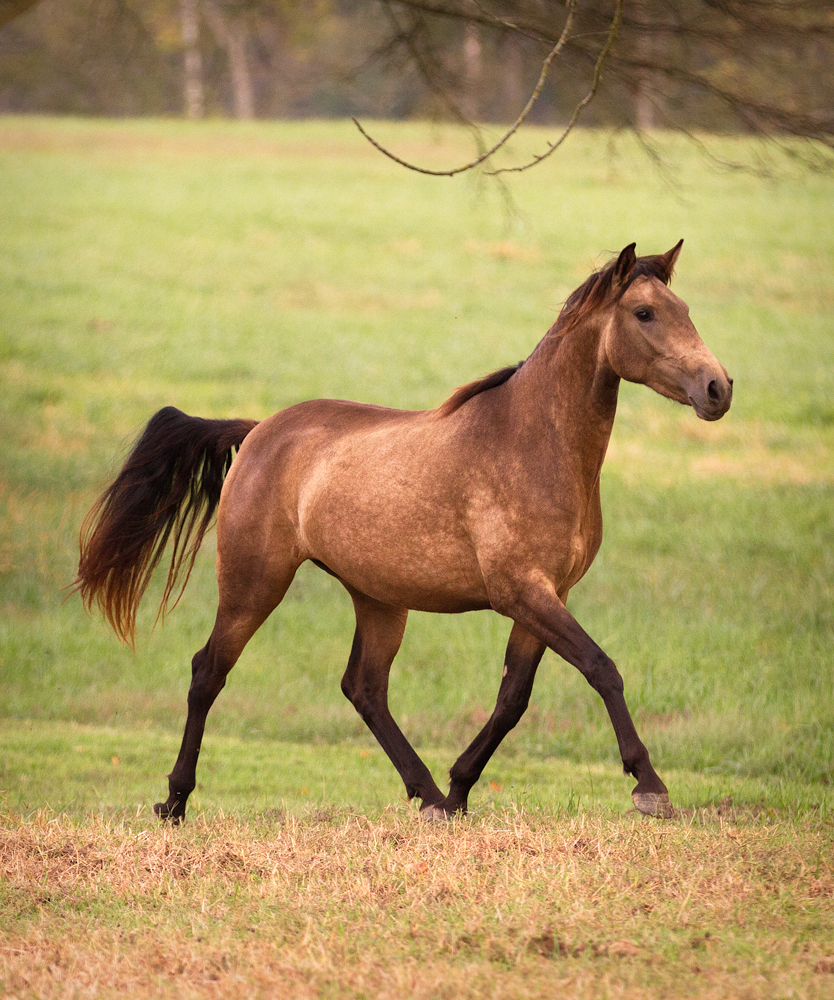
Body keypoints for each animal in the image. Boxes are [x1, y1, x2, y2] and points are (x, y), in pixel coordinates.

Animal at [75, 240, 732, 820]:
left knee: (364, 688)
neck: (532, 443)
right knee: (208, 672)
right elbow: (601, 668)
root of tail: (259, 430)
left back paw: (430, 797)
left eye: (686, 309)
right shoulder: (523, 591)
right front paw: (649, 787)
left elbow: (513, 698)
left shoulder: (547, 595)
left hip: (378, 598)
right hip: (253, 584)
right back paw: (175, 802)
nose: (718, 388)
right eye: (644, 313)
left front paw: (460, 789)